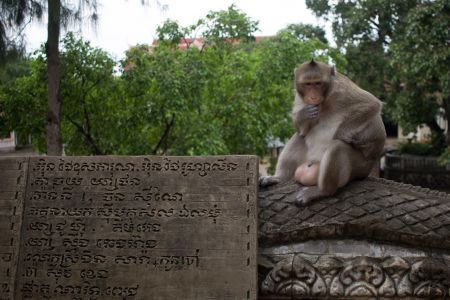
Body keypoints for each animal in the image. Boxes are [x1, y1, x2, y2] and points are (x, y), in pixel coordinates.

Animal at [260, 60, 386, 206]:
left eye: (318, 83)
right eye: (308, 84)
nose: (313, 96)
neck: (325, 100)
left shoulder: (342, 89)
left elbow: (370, 105)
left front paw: (343, 137)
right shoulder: (300, 96)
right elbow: (300, 127)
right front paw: (304, 114)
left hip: (360, 168)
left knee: (337, 147)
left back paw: (322, 191)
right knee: (299, 136)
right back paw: (280, 178)